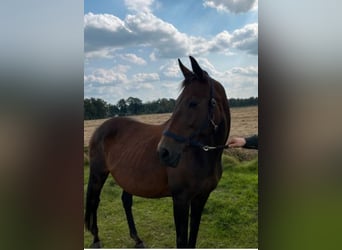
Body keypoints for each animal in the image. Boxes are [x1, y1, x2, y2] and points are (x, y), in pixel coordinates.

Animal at [84, 56, 231, 248]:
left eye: (193, 103)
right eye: (177, 103)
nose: (164, 151)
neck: (202, 156)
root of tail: (100, 128)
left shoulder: (201, 198)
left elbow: (192, 239)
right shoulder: (181, 200)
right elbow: (181, 240)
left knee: (126, 201)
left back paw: (137, 239)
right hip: (98, 173)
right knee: (94, 201)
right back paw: (96, 239)